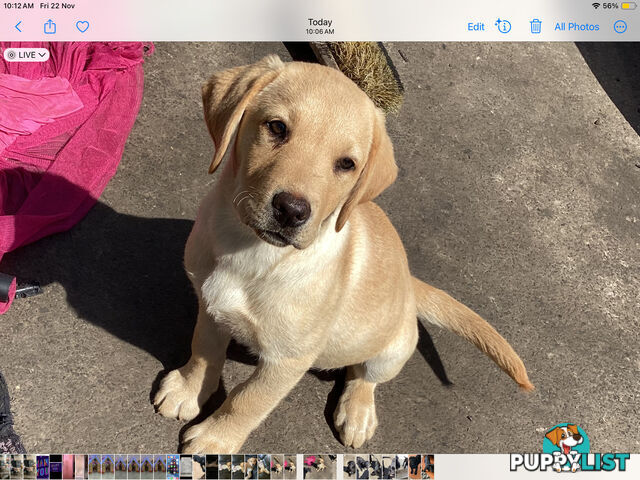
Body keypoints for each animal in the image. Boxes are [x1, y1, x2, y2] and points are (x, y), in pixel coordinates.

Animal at [152, 54, 532, 452]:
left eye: (347, 164)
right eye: (276, 127)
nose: (291, 210)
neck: (253, 252)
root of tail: (410, 283)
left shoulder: (288, 360)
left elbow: (247, 401)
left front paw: (216, 439)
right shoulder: (210, 305)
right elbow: (204, 349)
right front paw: (188, 390)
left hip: (393, 349)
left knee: (365, 376)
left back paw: (357, 412)